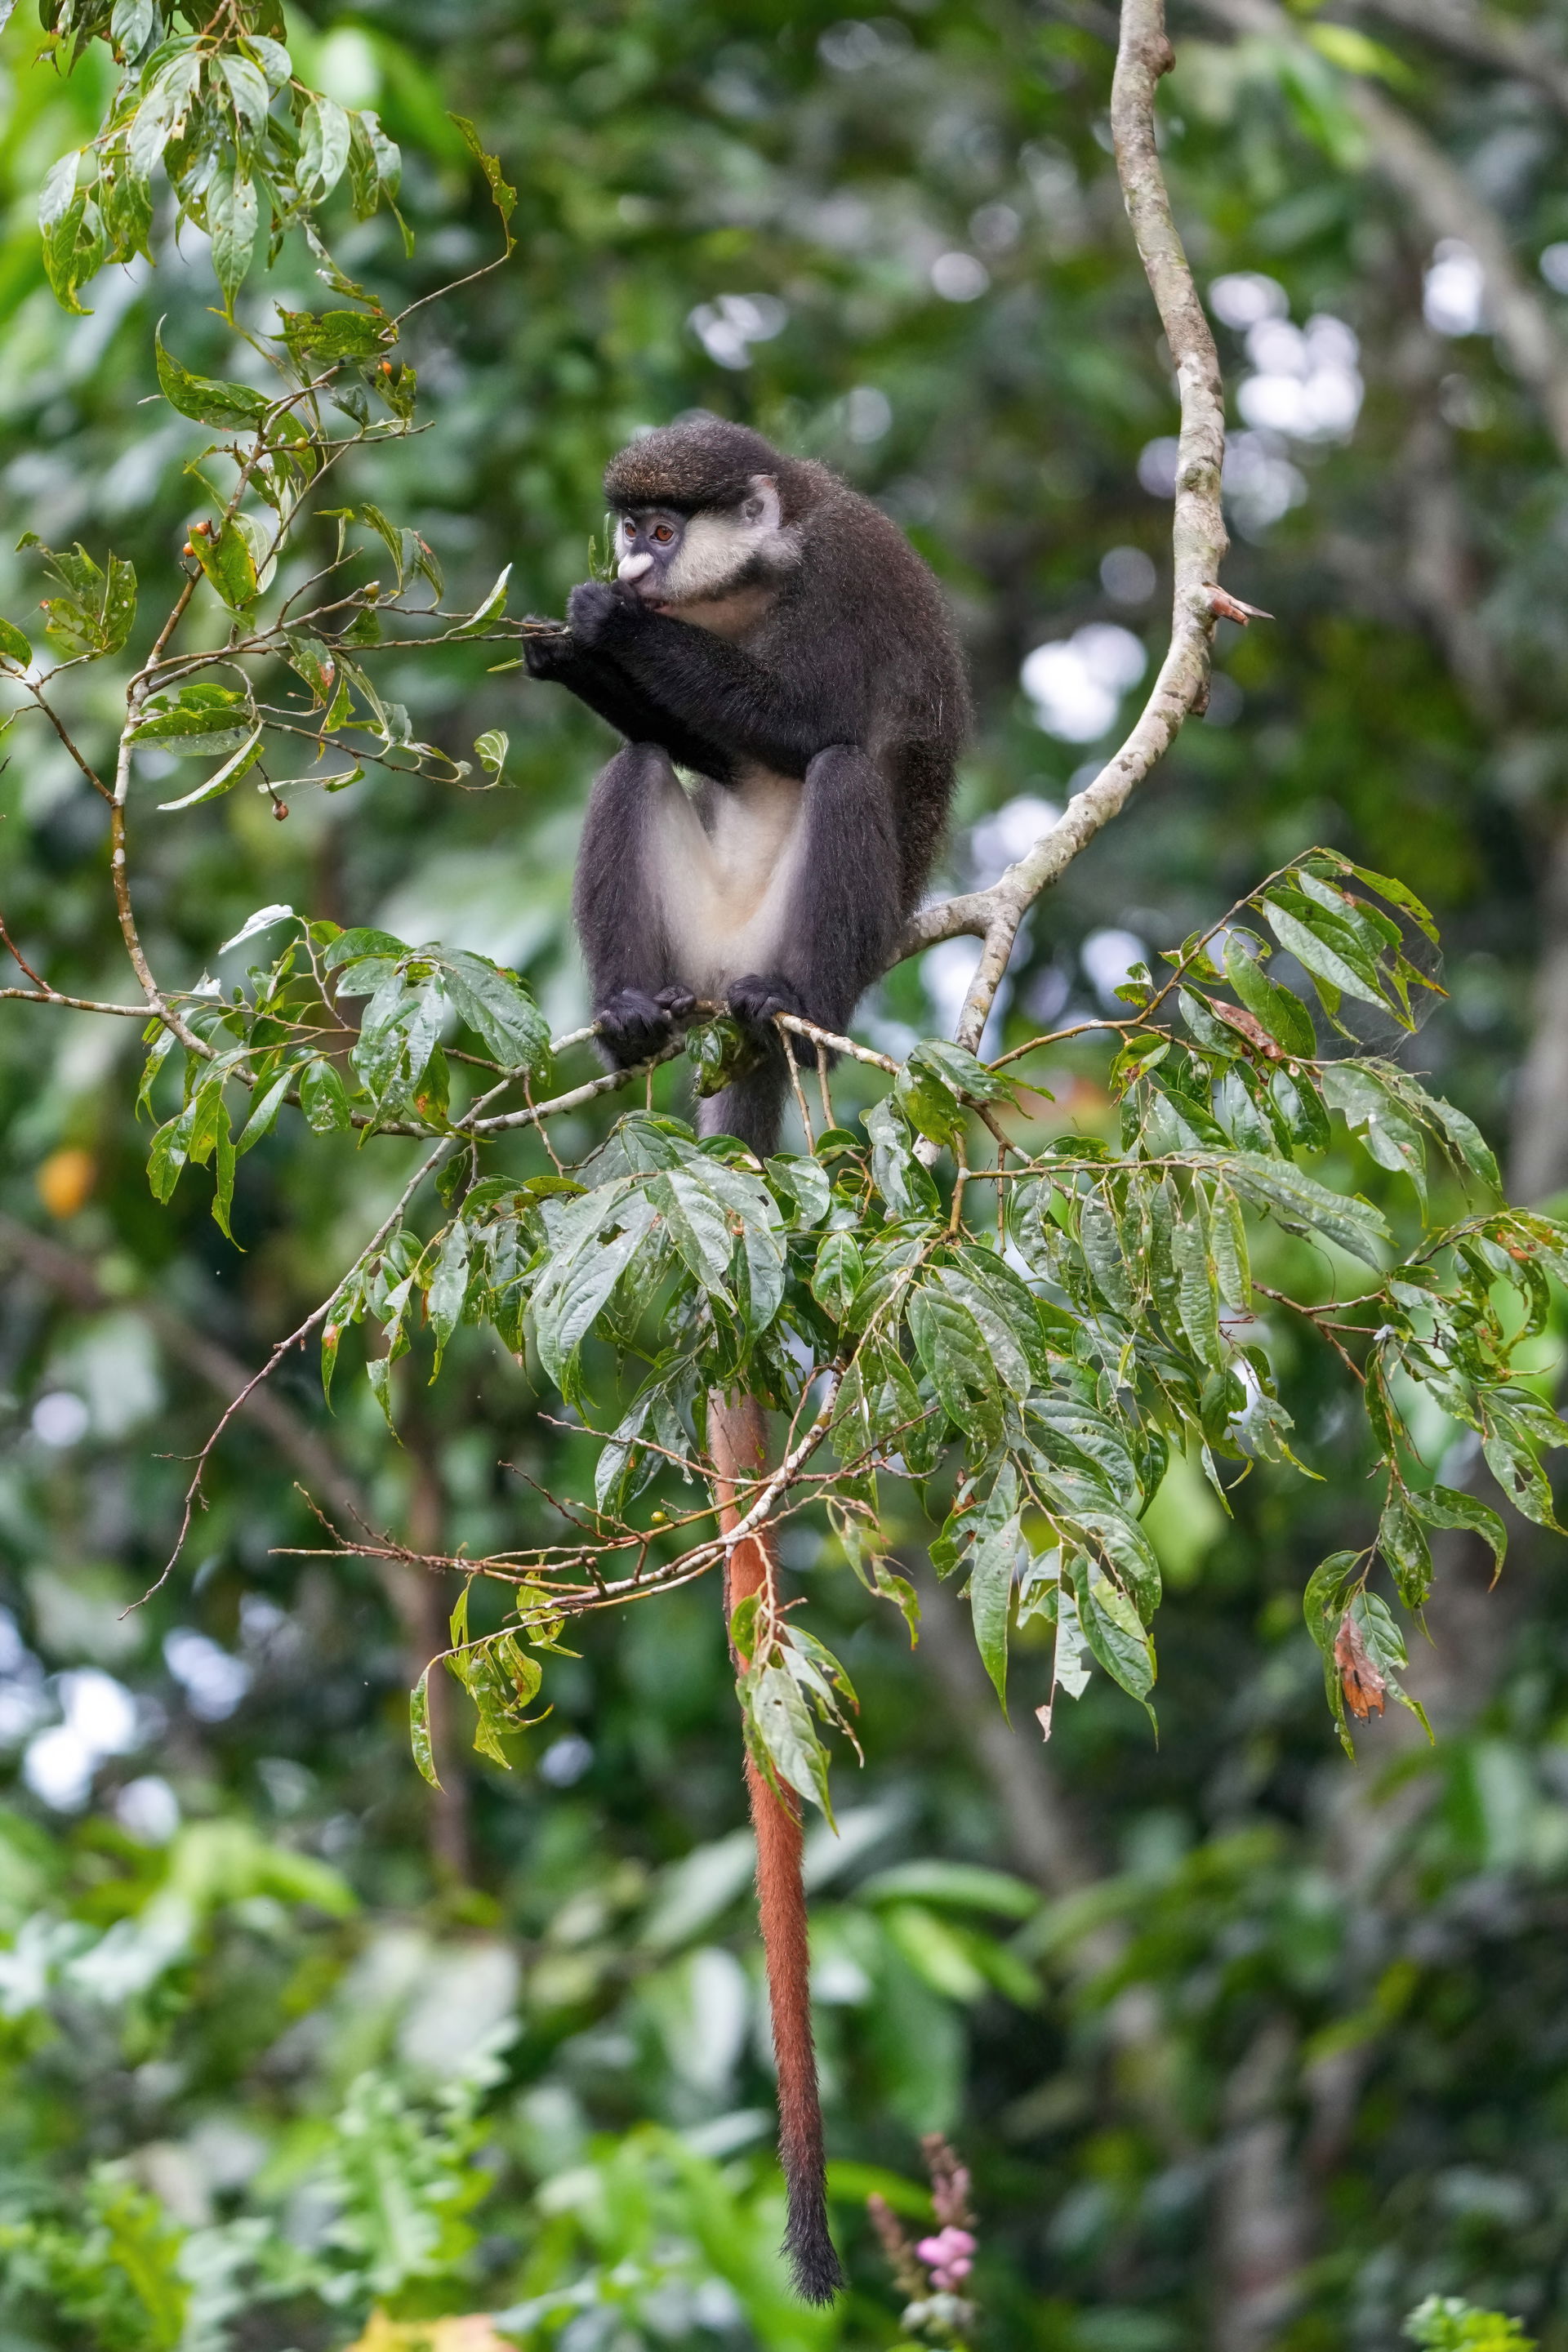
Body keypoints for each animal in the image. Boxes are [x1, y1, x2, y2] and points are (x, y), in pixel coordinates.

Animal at [524, 414, 970, 1159]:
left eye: (664, 534)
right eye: (631, 529)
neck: (757, 576)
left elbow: (812, 726)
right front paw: (562, 654)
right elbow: (715, 756)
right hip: (693, 948)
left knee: (842, 770)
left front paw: (611, 622)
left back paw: (801, 1016)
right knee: (636, 766)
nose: (632, 569)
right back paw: (628, 1021)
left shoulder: (842, 574)